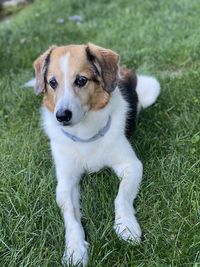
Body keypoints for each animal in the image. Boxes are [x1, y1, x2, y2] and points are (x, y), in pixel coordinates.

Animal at [27, 43, 161, 266]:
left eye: (81, 80)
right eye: (52, 82)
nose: (61, 116)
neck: (85, 136)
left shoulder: (131, 165)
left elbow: (121, 196)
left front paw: (126, 225)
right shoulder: (65, 182)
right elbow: (70, 216)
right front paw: (74, 249)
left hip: (152, 90)